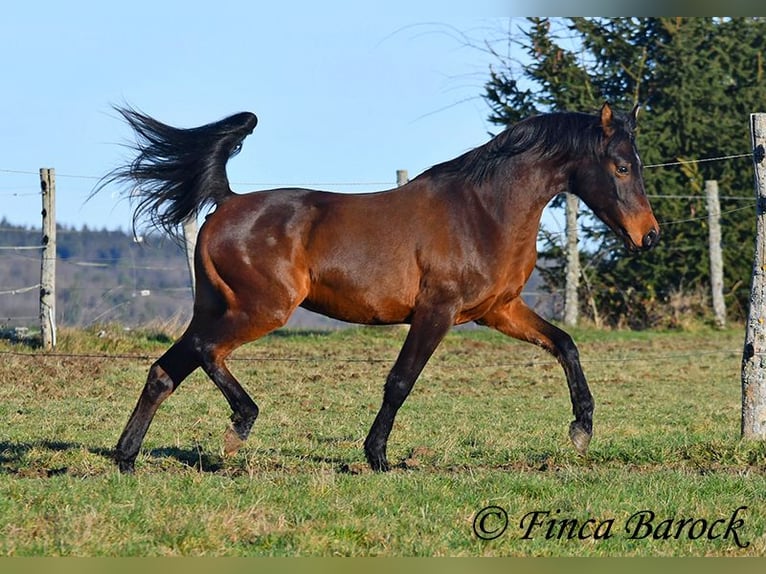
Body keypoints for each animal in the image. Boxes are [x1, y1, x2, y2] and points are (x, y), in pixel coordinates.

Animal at [100, 102, 660, 472]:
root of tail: (228, 201)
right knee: (205, 351)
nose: (648, 236)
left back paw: (126, 459)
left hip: (220, 307)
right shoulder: (437, 311)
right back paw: (239, 427)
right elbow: (400, 381)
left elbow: (565, 344)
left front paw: (581, 432)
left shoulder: (498, 309)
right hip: (262, 310)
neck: (484, 211)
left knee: (166, 370)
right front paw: (378, 458)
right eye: (621, 166)